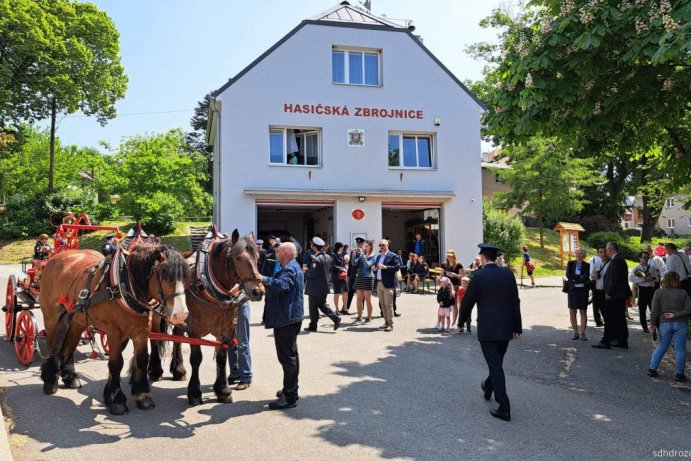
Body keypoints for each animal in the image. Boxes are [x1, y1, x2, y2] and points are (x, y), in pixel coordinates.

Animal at [40, 243, 192, 416]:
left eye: (185, 278)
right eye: (165, 277)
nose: (181, 314)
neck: (125, 287)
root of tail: (57, 257)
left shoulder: (141, 332)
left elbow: (142, 360)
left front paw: (142, 396)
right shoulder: (114, 332)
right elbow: (116, 363)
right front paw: (117, 400)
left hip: (76, 319)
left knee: (69, 346)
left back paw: (70, 377)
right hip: (51, 317)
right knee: (53, 347)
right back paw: (50, 380)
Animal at [149, 228, 264, 404]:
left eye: (258, 257)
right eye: (238, 258)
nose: (258, 291)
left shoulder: (226, 330)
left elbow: (222, 357)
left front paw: (222, 390)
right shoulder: (194, 330)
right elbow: (196, 359)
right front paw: (195, 392)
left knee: (177, 337)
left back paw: (178, 370)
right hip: (156, 315)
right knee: (155, 339)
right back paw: (155, 371)